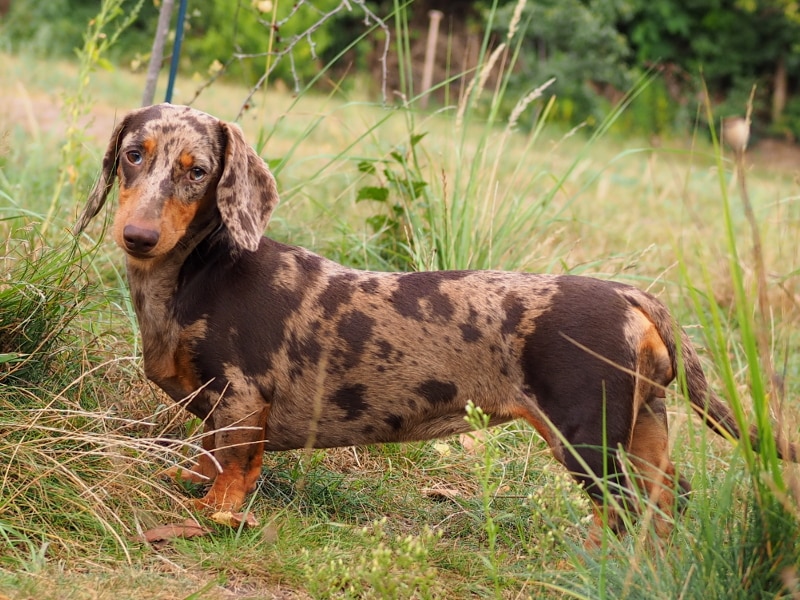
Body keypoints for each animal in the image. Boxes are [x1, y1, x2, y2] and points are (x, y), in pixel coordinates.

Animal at [73, 103, 792, 544]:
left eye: (197, 171)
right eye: (133, 154)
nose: (138, 236)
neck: (198, 269)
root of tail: (631, 293)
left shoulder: (243, 400)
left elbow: (232, 470)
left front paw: (211, 514)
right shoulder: (219, 406)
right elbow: (207, 454)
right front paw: (190, 482)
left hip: (587, 438)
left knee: (626, 511)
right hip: (643, 427)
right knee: (668, 502)